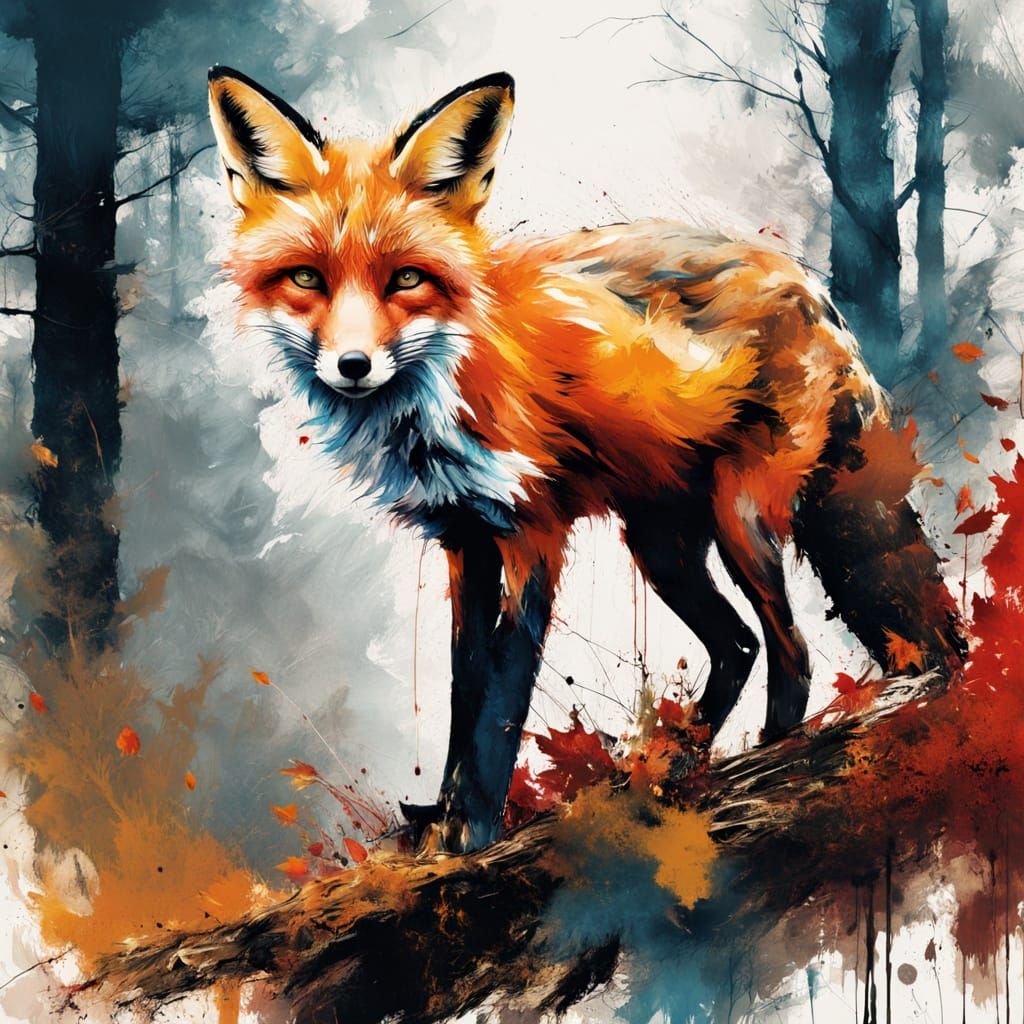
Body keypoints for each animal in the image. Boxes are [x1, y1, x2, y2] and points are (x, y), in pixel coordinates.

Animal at [208, 67, 966, 853]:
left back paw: (763, 765)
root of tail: (815, 292)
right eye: (306, 279)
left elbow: (501, 700)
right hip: (663, 544)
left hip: (742, 521)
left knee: (793, 652)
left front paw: (474, 832)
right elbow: (464, 688)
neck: (442, 393)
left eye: (407, 279)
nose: (352, 366)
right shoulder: (465, 540)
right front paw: (444, 816)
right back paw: (672, 765)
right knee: (739, 646)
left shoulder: (533, 535)